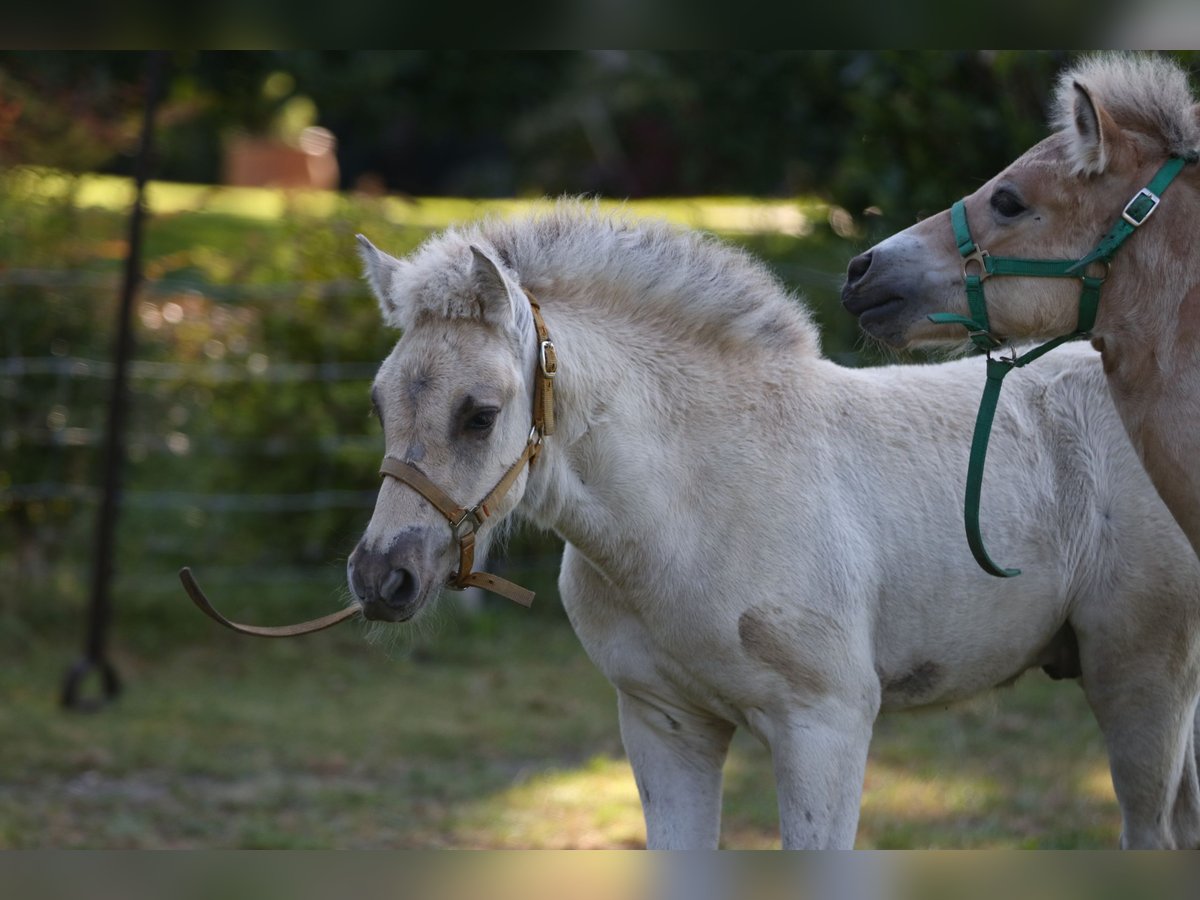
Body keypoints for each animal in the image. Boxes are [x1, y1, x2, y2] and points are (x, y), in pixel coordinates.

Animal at [350, 204, 1200, 854]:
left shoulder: (824, 726)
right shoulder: (665, 725)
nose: (381, 577)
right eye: (378, 402)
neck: (693, 504)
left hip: (1142, 677)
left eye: (480, 414)